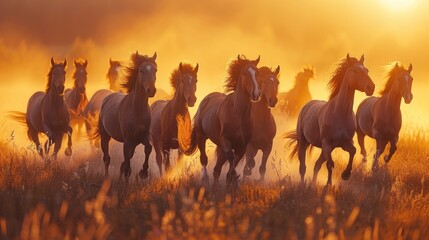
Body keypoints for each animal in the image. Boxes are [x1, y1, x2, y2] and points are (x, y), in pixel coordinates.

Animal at [90, 51, 157, 182]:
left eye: (155, 70)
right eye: (141, 70)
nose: (151, 90)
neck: (137, 110)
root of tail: (107, 98)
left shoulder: (142, 137)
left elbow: (148, 149)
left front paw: (143, 172)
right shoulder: (128, 140)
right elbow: (126, 165)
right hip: (105, 136)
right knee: (107, 158)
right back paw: (107, 178)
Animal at [177, 54, 260, 186]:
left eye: (257, 73)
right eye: (244, 73)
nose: (256, 94)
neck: (238, 114)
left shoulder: (241, 147)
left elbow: (234, 161)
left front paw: (231, 179)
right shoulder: (225, 140)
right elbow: (231, 157)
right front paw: (233, 176)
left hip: (220, 147)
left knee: (217, 169)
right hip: (202, 136)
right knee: (204, 159)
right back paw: (205, 179)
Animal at [286, 54, 372, 186]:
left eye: (366, 70)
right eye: (354, 70)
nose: (371, 87)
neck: (340, 113)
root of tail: (307, 105)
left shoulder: (345, 143)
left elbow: (353, 151)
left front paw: (346, 174)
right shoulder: (327, 143)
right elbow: (330, 164)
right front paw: (329, 183)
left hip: (325, 149)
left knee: (317, 165)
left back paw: (313, 184)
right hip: (304, 143)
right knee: (303, 167)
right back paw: (303, 184)